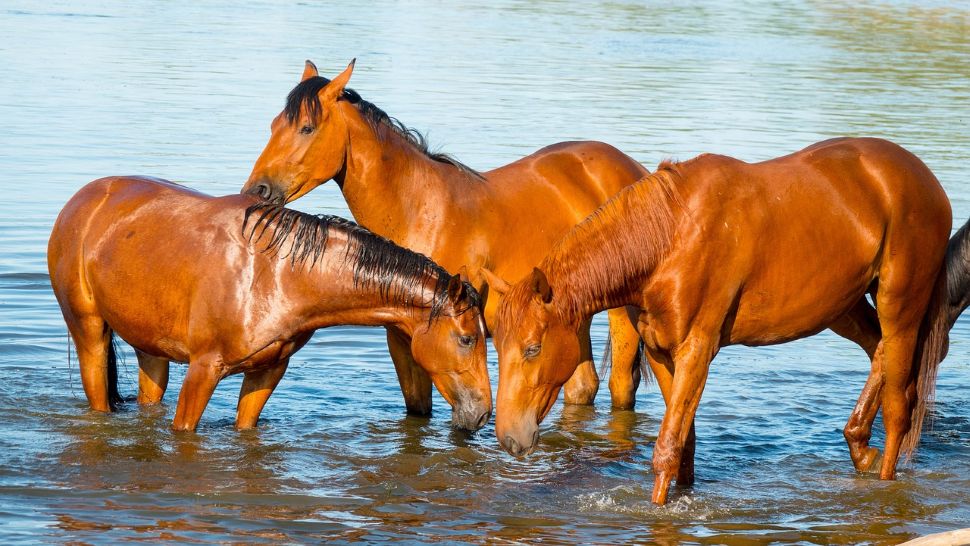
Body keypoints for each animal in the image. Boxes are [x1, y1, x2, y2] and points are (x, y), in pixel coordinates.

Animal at [47, 176, 491, 432]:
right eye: (467, 339)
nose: (483, 413)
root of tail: (84, 199)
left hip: (150, 349)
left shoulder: (268, 372)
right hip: (89, 333)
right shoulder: (204, 370)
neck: (277, 274)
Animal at [241, 60, 651, 413]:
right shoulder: (401, 337)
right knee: (581, 386)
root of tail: (635, 170)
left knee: (619, 386)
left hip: (622, 314)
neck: (420, 209)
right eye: (274, 125)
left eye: (307, 128)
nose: (256, 190)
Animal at [486, 137, 952, 505]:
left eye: (532, 348)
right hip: (843, 306)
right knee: (878, 351)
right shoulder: (661, 351)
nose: (509, 438)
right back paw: (859, 446)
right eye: (498, 344)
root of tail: (924, 179)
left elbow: (667, 447)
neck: (669, 237)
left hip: (900, 306)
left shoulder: (697, 349)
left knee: (899, 405)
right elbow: (684, 444)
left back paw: (884, 474)